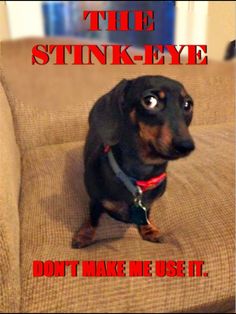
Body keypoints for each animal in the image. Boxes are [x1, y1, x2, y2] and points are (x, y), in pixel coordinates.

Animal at [73, 75, 195, 248]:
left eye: (187, 104)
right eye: (149, 100)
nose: (186, 146)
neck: (139, 176)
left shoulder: (148, 204)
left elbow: (147, 214)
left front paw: (149, 229)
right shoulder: (95, 201)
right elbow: (93, 217)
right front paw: (84, 235)